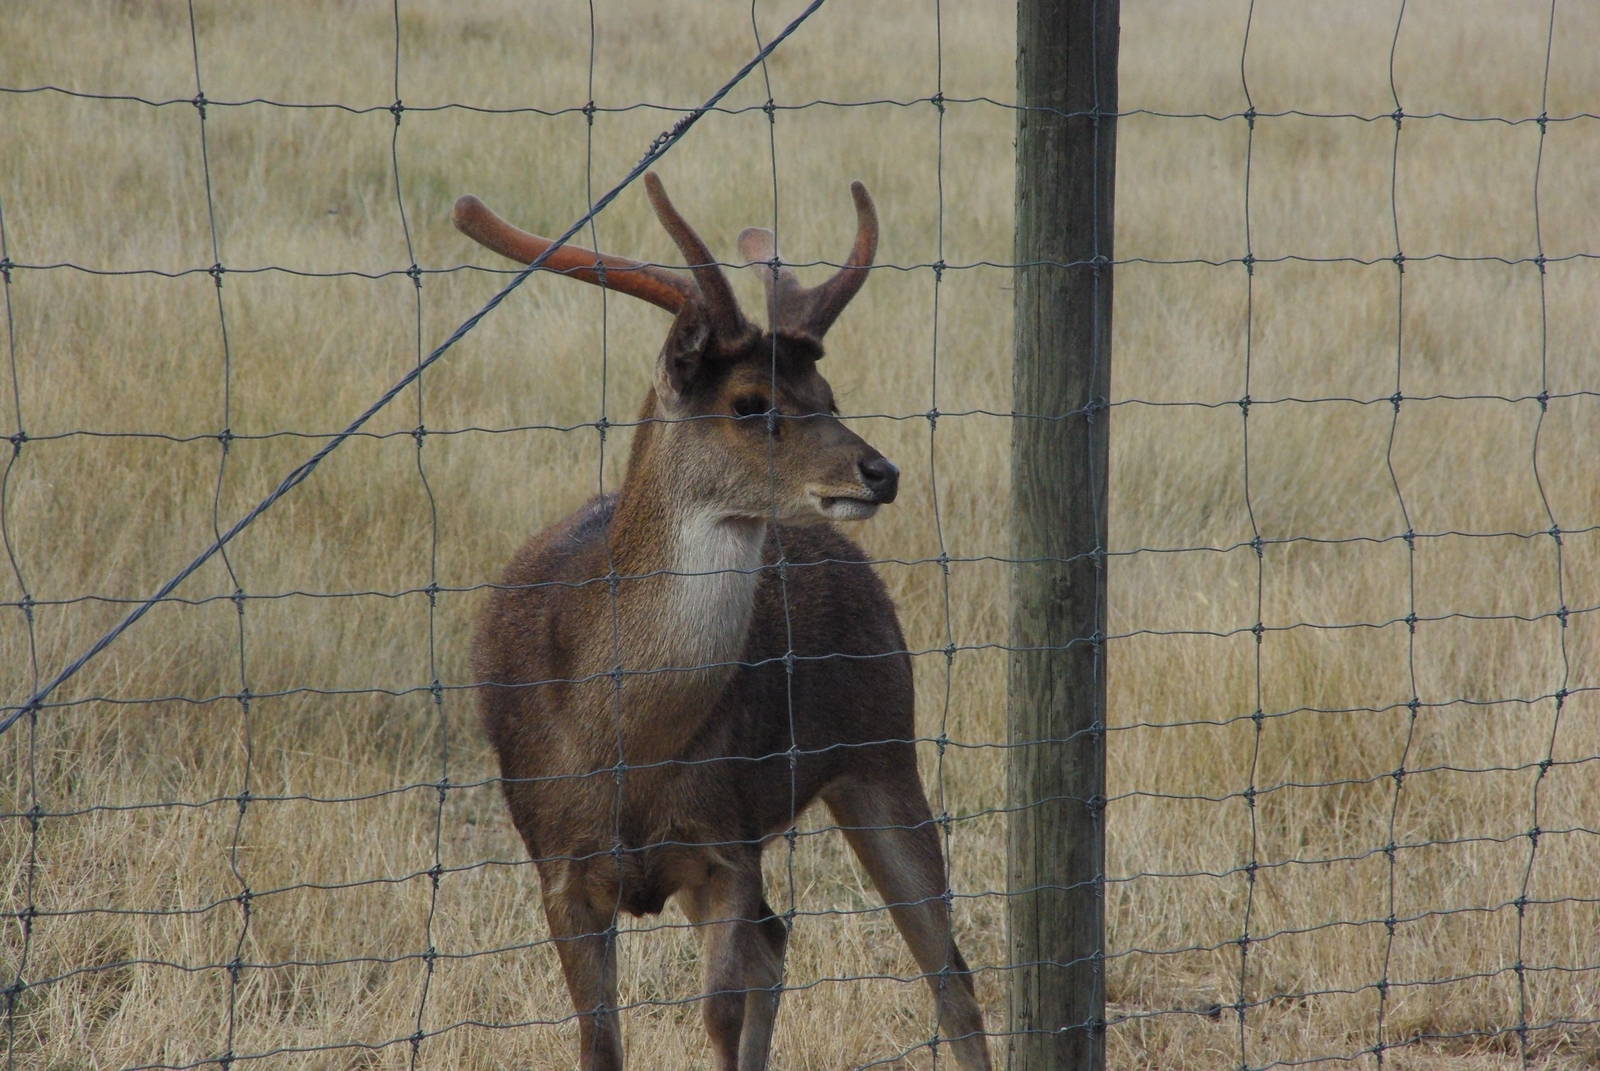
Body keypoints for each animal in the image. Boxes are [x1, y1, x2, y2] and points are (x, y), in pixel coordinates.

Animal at [458, 172, 991, 1071]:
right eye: (749, 403)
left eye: (827, 396)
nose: (879, 470)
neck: (622, 739)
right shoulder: (559, 862)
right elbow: (602, 1042)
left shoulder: (725, 839)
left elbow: (718, 1013)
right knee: (783, 941)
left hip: (885, 747)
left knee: (947, 972)